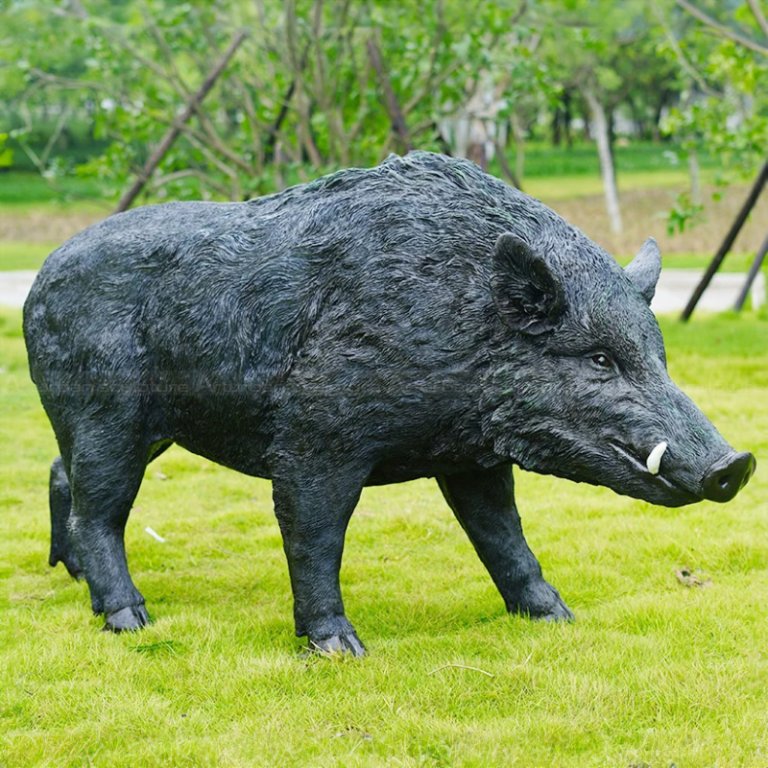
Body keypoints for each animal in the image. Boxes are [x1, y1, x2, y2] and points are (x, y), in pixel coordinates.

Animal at [23, 151, 755, 655]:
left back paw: (71, 580)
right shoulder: (316, 435)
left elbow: (502, 534)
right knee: (100, 509)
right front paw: (341, 649)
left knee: (63, 477)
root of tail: (38, 278)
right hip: (102, 406)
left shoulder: (471, 459)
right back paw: (129, 620)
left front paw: (559, 616)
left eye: (659, 352)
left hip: (140, 427)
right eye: (600, 359)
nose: (737, 464)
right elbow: (315, 534)